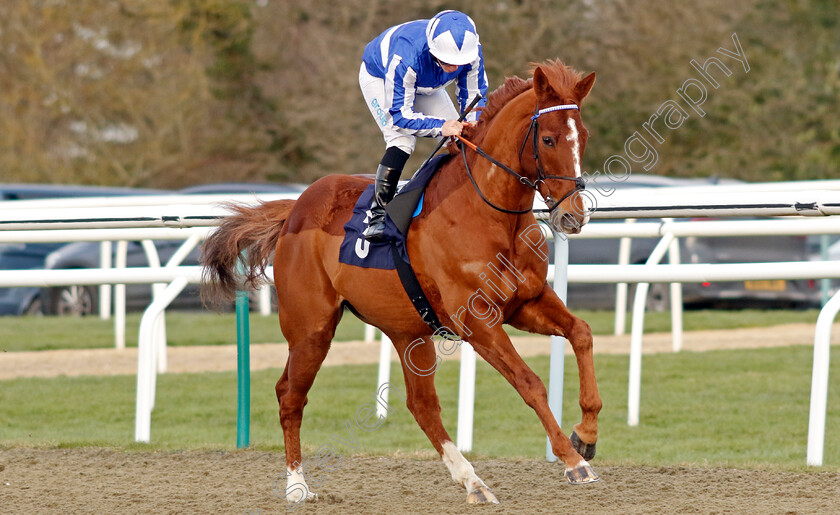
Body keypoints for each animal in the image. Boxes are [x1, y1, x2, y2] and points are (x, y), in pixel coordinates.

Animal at [201, 59, 600, 504]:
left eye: (582, 136)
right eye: (548, 139)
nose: (574, 216)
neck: (489, 215)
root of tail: (294, 211)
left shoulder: (526, 303)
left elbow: (582, 333)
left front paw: (586, 436)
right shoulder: (478, 321)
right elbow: (529, 382)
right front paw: (573, 461)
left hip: (407, 331)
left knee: (421, 405)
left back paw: (473, 482)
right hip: (311, 330)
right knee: (291, 395)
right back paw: (297, 485)